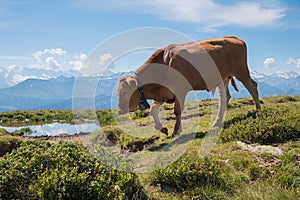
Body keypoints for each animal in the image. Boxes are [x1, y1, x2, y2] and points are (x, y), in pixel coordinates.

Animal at [117, 36, 260, 138]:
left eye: (124, 92)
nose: (119, 111)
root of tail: (233, 38)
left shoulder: (179, 90)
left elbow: (177, 111)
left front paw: (176, 131)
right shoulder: (164, 93)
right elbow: (152, 109)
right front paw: (163, 129)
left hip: (241, 71)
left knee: (252, 87)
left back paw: (259, 110)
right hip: (223, 78)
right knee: (225, 97)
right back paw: (217, 122)